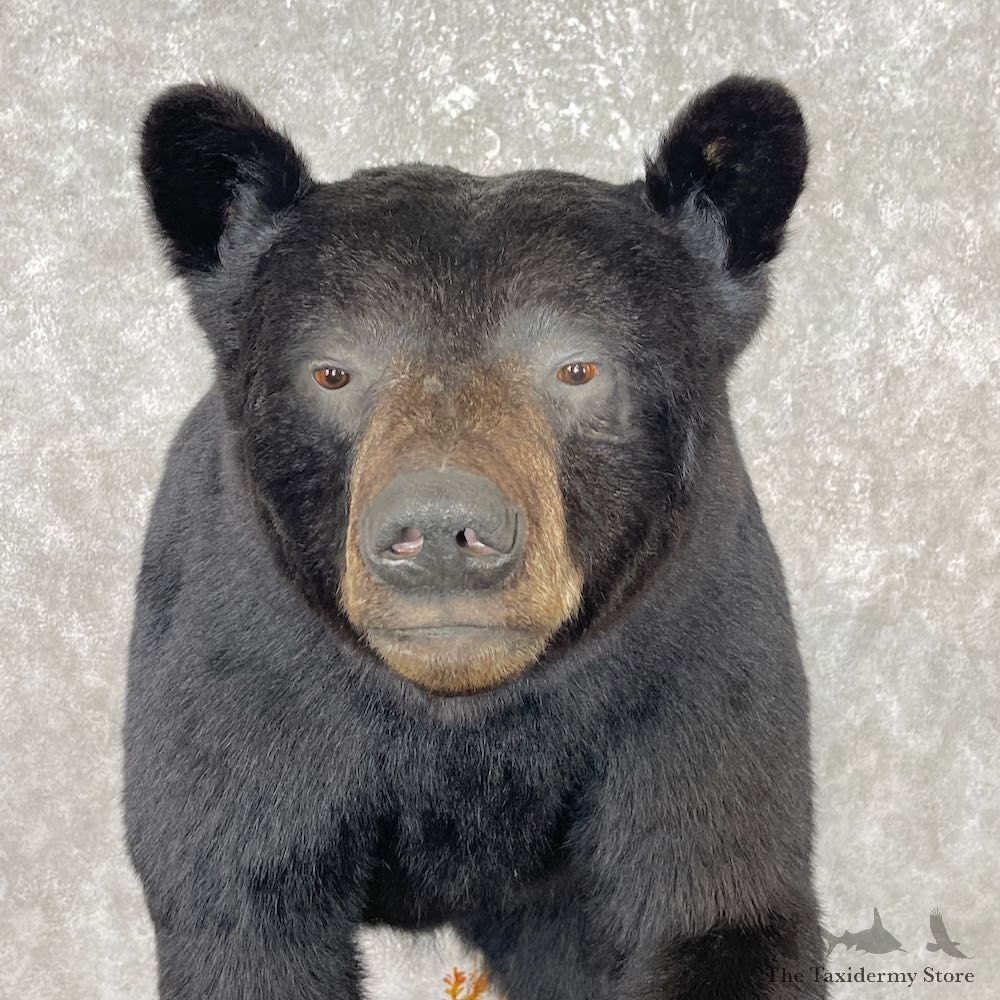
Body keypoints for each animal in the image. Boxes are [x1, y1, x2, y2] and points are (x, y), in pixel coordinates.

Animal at [124, 75, 824, 999]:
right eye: (332, 371)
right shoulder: (241, 667)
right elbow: (239, 903)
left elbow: (721, 901)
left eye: (578, 366)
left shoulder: (694, 658)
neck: (462, 720)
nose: (438, 529)